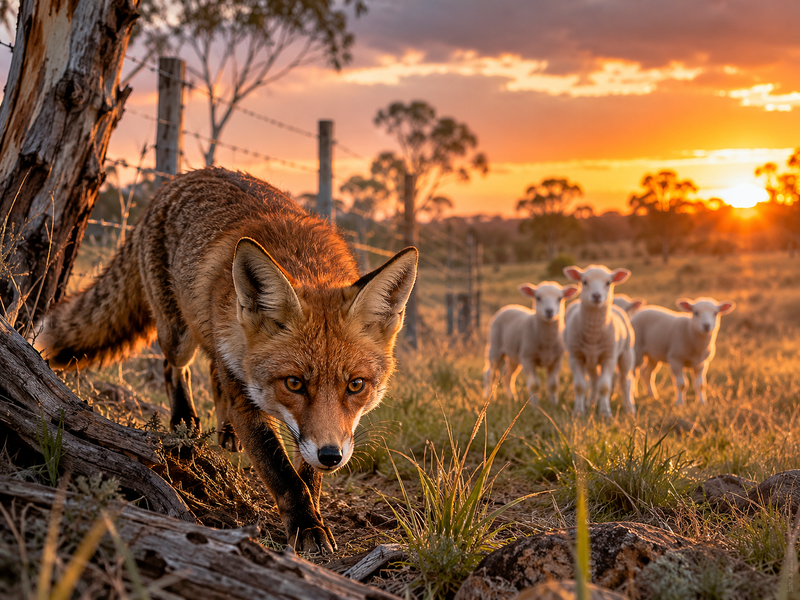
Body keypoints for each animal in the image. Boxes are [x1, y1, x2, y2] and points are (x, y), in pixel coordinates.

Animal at [34, 167, 418, 553]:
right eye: (294, 383)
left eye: (356, 385)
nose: (331, 456)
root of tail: (181, 178)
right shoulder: (248, 402)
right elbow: (281, 473)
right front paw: (306, 526)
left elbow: (306, 475)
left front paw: (313, 512)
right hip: (177, 335)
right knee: (175, 367)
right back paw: (184, 420)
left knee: (213, 371)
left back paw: (227, 432)